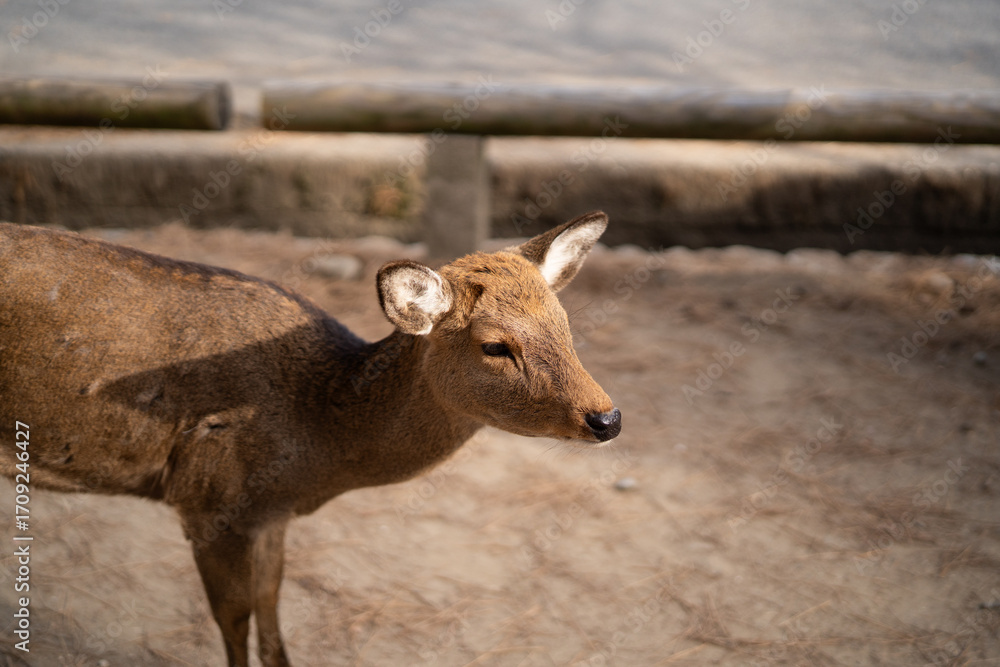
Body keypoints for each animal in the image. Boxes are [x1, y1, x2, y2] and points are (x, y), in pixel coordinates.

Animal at [0, 211, 621, 666]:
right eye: (495, 345)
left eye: (564, 323)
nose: (607, 418)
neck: (316, 446)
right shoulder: (208, 500)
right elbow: (236, 621)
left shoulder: (268, 515)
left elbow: (272, 612)